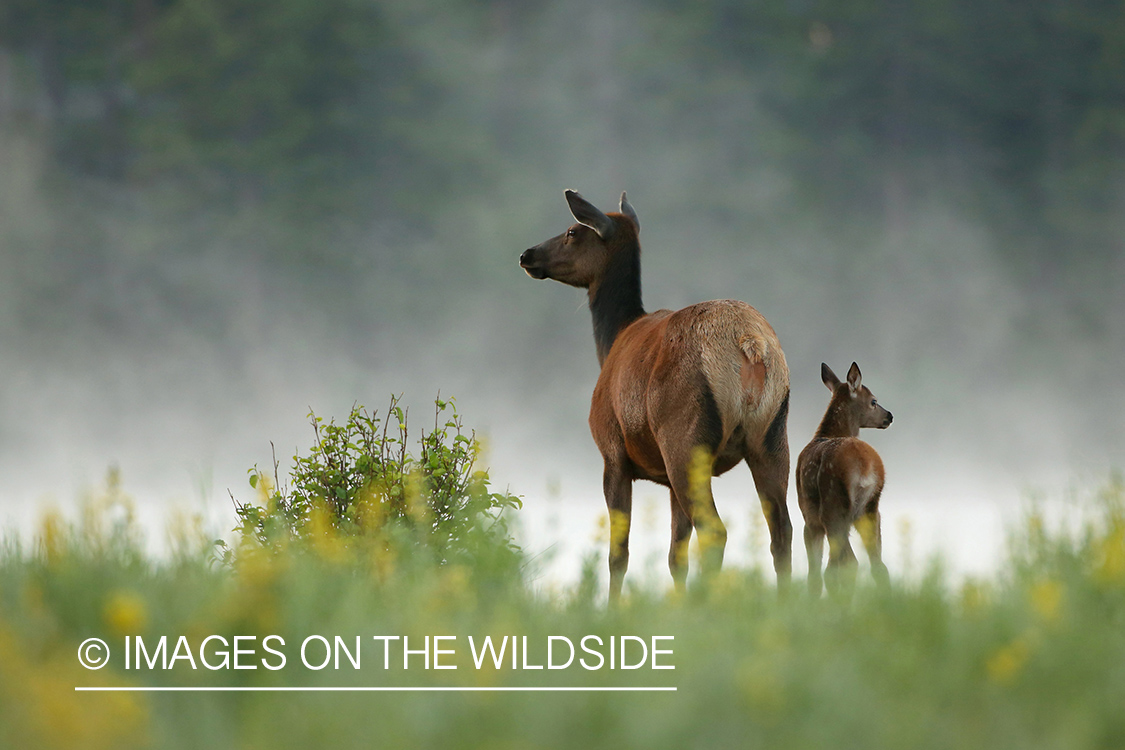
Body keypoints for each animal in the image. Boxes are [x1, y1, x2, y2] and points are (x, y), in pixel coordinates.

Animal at [517, 191, 792, 602]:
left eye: (571, 231)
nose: (527, 254)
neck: (612, 340)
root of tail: (751, 346)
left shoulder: (612, 453)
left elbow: (618, 553)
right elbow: (675, 555)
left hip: (684, 437)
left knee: (716, 531)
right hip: (772, 434)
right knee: (783, 530)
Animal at [796, 359, 891, 602]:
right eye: (873, 401)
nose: (889, 416)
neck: (825, 434)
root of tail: (865, 467)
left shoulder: (809, 518)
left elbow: (816, 571)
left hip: (833, 506)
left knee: (848, 563)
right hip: (870, 509)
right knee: (877, 565)